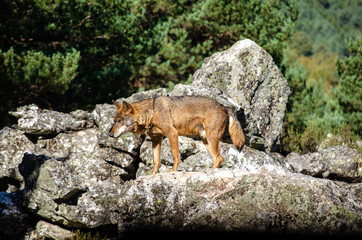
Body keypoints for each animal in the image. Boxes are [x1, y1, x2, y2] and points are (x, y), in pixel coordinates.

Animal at [109, 95, 245, 174]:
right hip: (205, 140)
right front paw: (153, 175)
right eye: (114, 121)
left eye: (120, 121)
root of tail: (224, 106)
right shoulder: (156, 139)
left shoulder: (172, 133)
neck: (152, 112)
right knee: (218, 158)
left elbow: (175, 156)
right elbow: (156, 161)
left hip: (211, 139)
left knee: (219, 158)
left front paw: (173, 171)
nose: (110, 134)